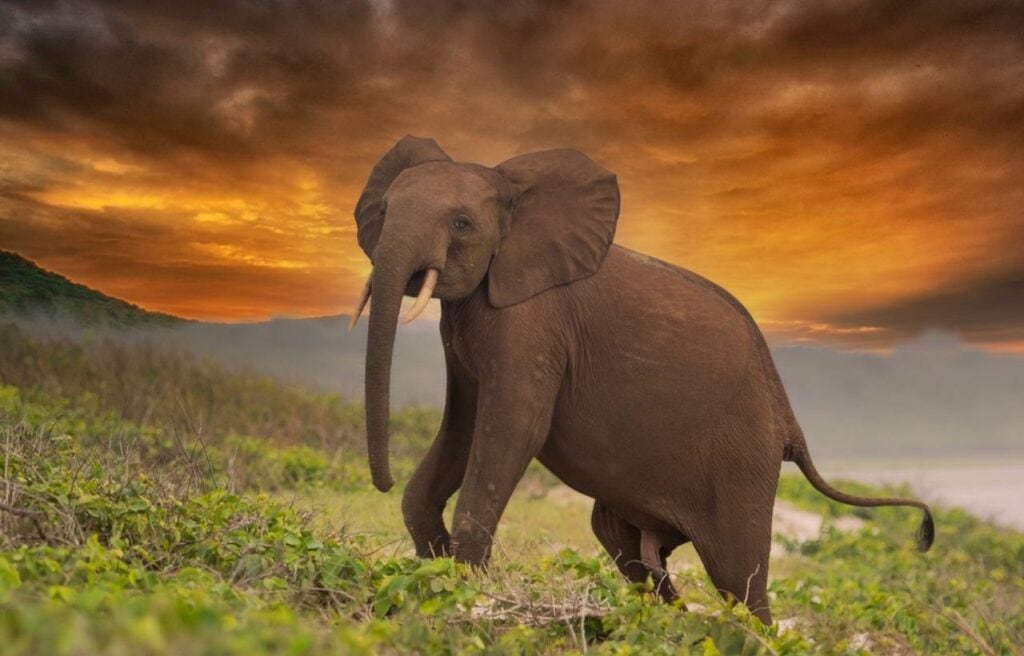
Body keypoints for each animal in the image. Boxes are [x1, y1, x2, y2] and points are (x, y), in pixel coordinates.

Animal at [349, 135, 934, 624]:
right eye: (383, 211)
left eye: (462, 224)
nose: (380, 480)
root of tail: (789, 420)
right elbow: (463, 426)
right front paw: (434, 573)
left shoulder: (532, 323)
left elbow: (514, 427)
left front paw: (463, 594)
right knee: (623, 544)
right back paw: (668, 621)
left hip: (742, 461)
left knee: (738, 574)